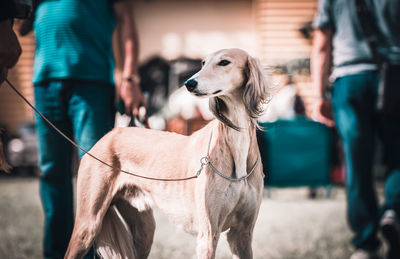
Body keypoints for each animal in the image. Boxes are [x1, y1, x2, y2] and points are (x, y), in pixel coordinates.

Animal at [65, 48, 270, 259]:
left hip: (143, 230)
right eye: (203, 63)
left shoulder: (242, 234)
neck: (236, 142)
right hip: (87, 226)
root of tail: (108, 135)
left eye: (224, 62)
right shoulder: (208, 234)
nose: (189, 83)